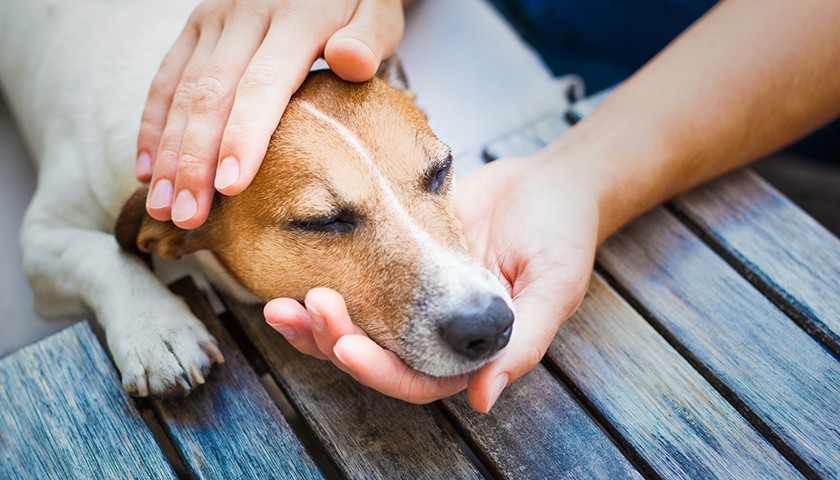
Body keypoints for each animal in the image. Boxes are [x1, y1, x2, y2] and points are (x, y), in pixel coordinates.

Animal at [0, 0, 516, 398]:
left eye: (441, 170)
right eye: (323, 221)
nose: (488, 324)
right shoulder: (41, 241)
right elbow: (100, 253)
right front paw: (157, 330)